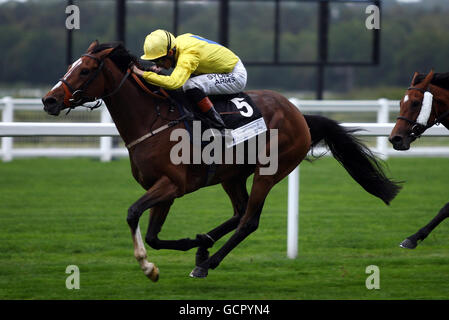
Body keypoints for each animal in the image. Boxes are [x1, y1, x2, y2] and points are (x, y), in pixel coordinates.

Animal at [42, 42, 400, 280]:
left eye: (85, 70)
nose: (49, 100)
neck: (152, 120)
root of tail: (299, 114)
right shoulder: (165, 188)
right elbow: (155, 235)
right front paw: (191, 242)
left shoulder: (171, 184)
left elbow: (133, 214)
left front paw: (148, 266)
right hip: (232, 175)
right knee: (239, 212)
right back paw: (204, 248)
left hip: (270, 171)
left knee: (249, 221)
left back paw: (207, 263)